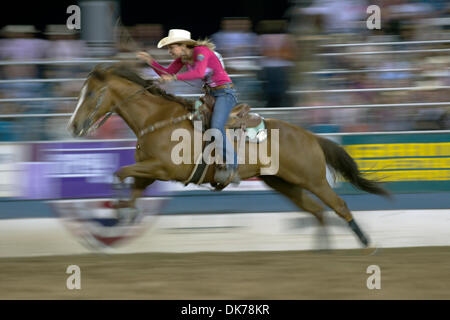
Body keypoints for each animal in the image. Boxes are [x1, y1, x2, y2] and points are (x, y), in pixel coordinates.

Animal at [67, 62, 390, 248]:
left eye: (91, 94)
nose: (73, 126)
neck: (156, 119)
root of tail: (310, 136)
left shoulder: (162, 168)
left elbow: (120, 173)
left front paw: (119, 208)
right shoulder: (148, 171)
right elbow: (130, 185)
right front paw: (123, 210)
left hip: (313, 179)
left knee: (339, 206)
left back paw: (366, 243)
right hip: (284, 183)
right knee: (317, 211)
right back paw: (322, 251)